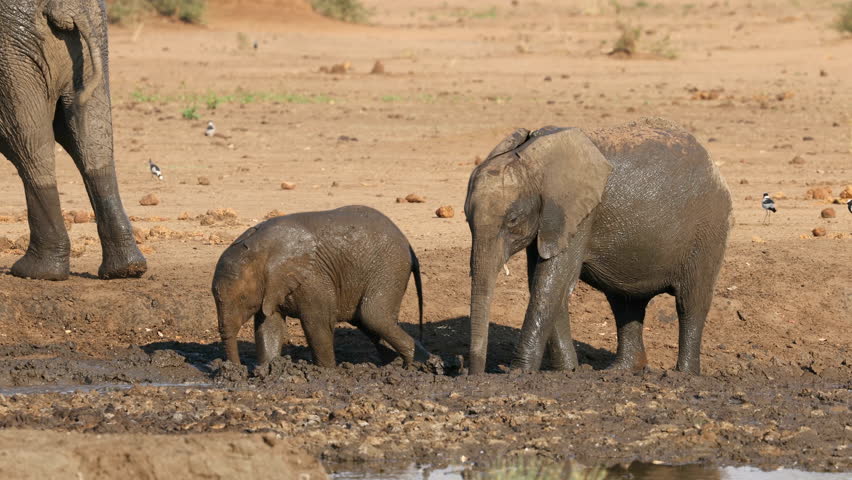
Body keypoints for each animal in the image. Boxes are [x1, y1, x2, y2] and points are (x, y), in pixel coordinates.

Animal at [0, 0, 146, 280]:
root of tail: (66, 7)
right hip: (92, 36)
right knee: (90, 137)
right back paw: (127, 269)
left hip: (10, 56)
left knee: (27, 142)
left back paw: (35, 272)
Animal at [212, 205, 430, 368]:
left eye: (242, 298)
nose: (237, 369)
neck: (261, 250)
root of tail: (408, 244)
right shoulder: (272, 287)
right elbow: (269, 325)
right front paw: (269, 371)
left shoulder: (313, 277)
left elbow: (317, 324)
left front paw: (326, 373)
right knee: (369, 322)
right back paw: (397, 365)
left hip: (389, 267)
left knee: (374, 316)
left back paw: (417, 366)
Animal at [464, 118, 732, 375]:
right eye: (467, 218)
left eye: (512, 220)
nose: (474, 375)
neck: (534, 159)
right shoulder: (551, 219)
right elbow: (543, 283)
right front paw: (569, 372)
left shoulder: (580, 214)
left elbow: (551, 284)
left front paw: (519, 373)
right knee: (625, 304)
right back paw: (622, 371)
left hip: (709, 229)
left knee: (690, 303)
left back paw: (685, 375)